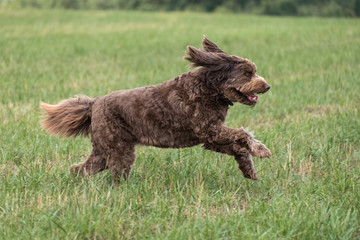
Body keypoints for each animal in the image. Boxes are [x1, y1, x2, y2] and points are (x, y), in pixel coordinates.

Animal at [40, 37, 270, 184]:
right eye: (247, 73)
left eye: (254, 71)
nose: (267, 86)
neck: (209, 89)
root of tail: (95, 104)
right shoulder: (209, 129)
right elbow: (243, 134)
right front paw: (261, 150)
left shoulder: (211, 137)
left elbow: (239, 147)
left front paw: (248, 169)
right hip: (118, 148)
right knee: (116, 173)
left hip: (104, 149)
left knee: (81, 169)